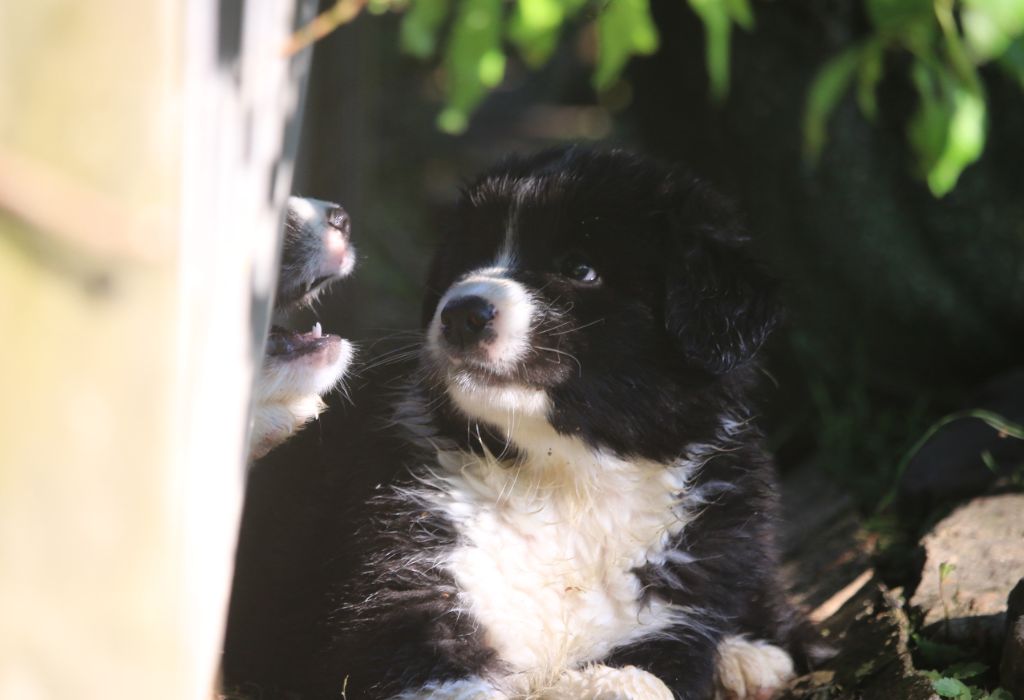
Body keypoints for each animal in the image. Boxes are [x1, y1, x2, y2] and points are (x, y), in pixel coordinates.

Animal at [309, 149, 815, 700]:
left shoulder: (676, 619)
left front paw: (621, 681)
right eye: (467, 259)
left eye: (580, 269)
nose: (461, 313)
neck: (566, 478)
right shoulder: (408, 597)